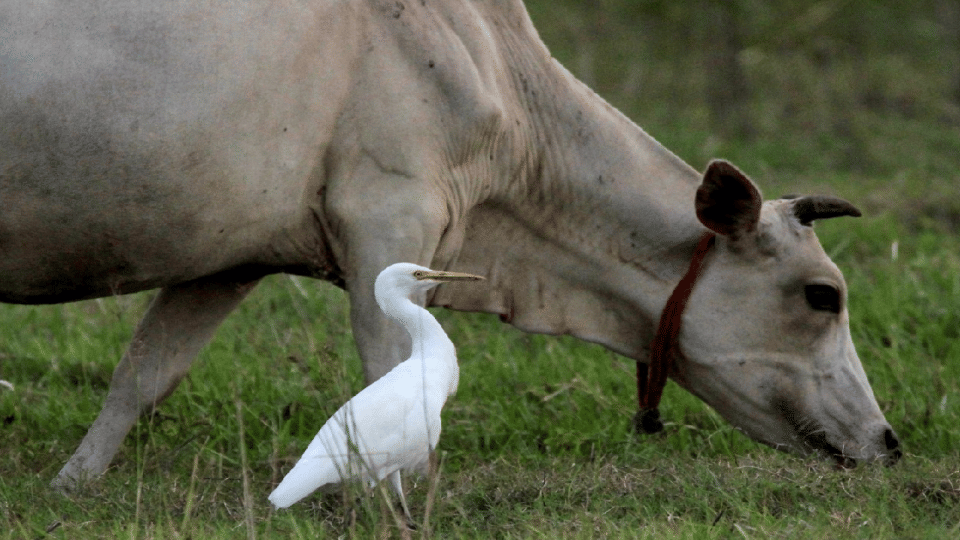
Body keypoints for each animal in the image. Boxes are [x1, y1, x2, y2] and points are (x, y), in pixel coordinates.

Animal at [0, 0, 900, 489]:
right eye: (823, 295)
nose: (890, 442)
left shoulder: (232, 254)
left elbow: (143, 376)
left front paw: (72, 486)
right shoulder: (387, 216)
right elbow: (394, 374)